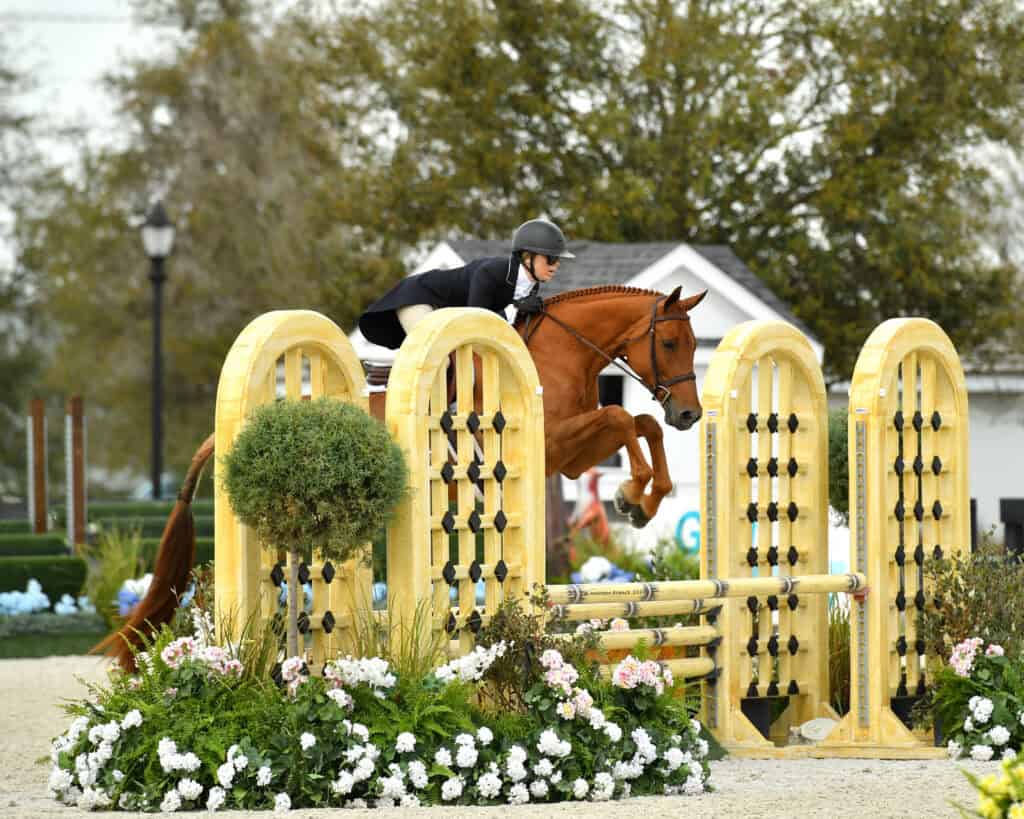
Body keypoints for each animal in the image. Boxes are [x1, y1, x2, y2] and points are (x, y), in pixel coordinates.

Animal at [98, 284, 705, 669]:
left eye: (695, 345)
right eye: (670, 342)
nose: (690, 415)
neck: (559, 357)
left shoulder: (570, 459)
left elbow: (641, 423)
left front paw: (645, 497)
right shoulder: (557, 443)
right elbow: (623, 417)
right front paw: (634, 496)